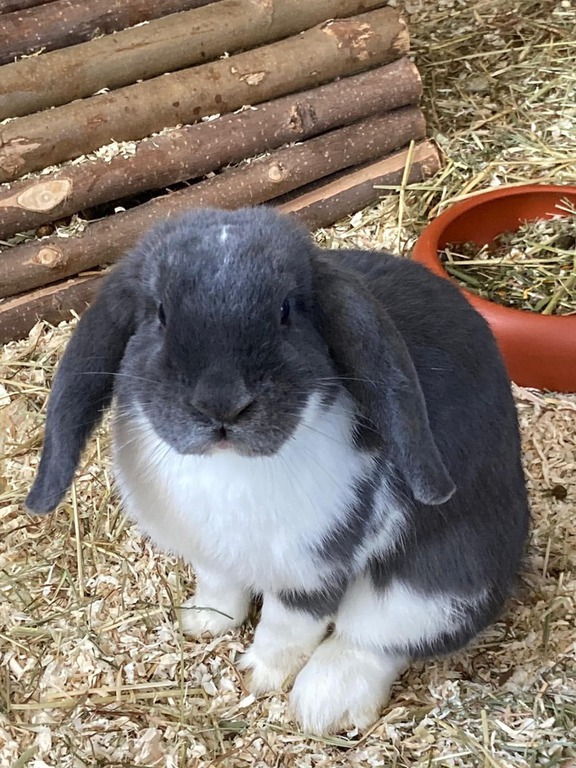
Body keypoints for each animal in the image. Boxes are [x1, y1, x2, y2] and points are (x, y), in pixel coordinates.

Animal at [26, 206, 530, 735]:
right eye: (159, 314)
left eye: (287, 311)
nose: (221, 404)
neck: (226, 469)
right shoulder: (214, 558)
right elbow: (221, 590)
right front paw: (202, 622)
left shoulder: (312, 574)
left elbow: (286, 628)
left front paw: (259, 676)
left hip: (432, 592)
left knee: (375, 640)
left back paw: (323, 703)